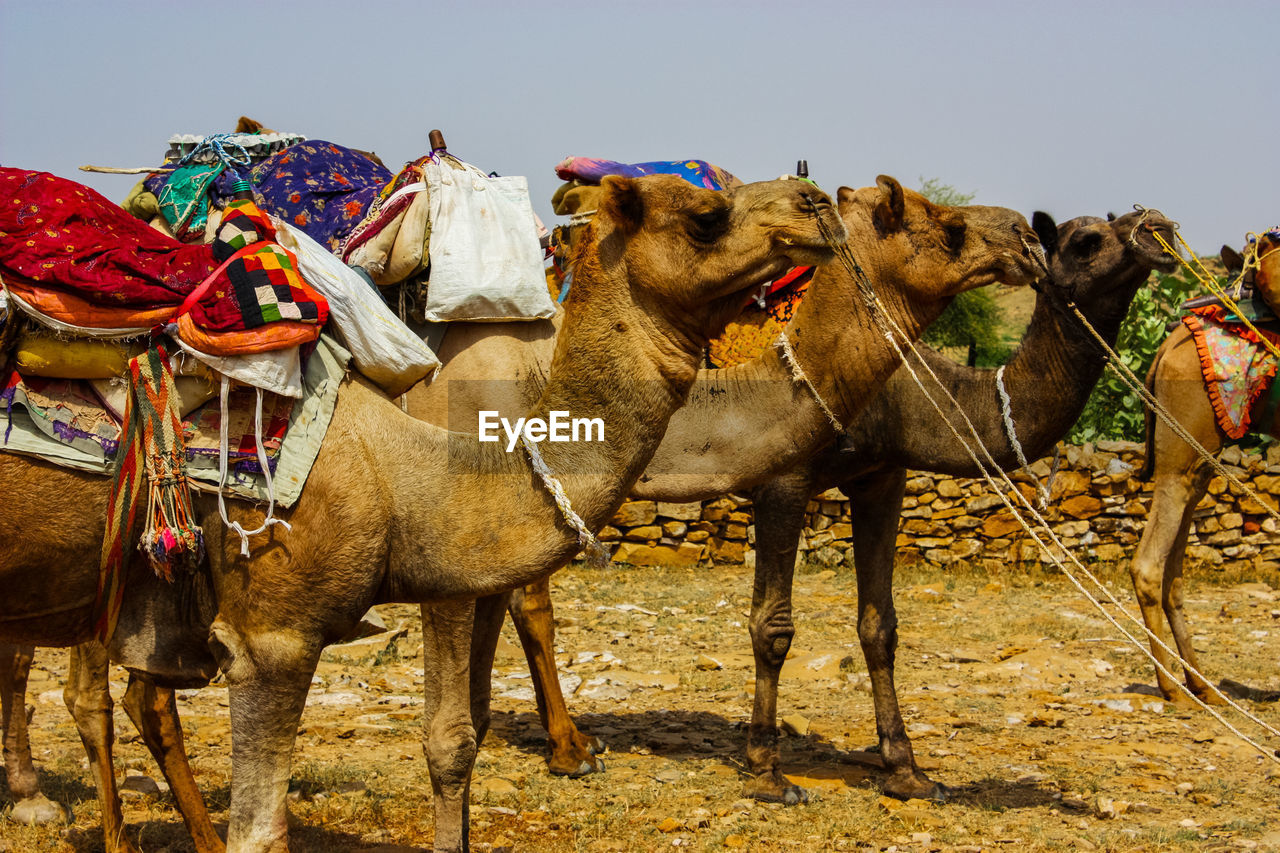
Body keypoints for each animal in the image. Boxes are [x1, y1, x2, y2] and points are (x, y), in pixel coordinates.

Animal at [494, 207, 1172, 804]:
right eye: (1086, 239)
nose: (1158, 229)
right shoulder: (783, 477)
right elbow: (772, 628)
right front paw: (767, 773)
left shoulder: (883, 476)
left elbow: (880, 627)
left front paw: (907, 772)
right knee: (532, 599)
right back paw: (569, 751)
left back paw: (576, 742)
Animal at [1131, 229, 1280, 701]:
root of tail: (1163, 351)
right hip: (1182, 444)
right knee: (1149, 564)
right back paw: (1171, 687)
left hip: (1199, 459)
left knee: (1174, 571)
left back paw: (1200, 683)